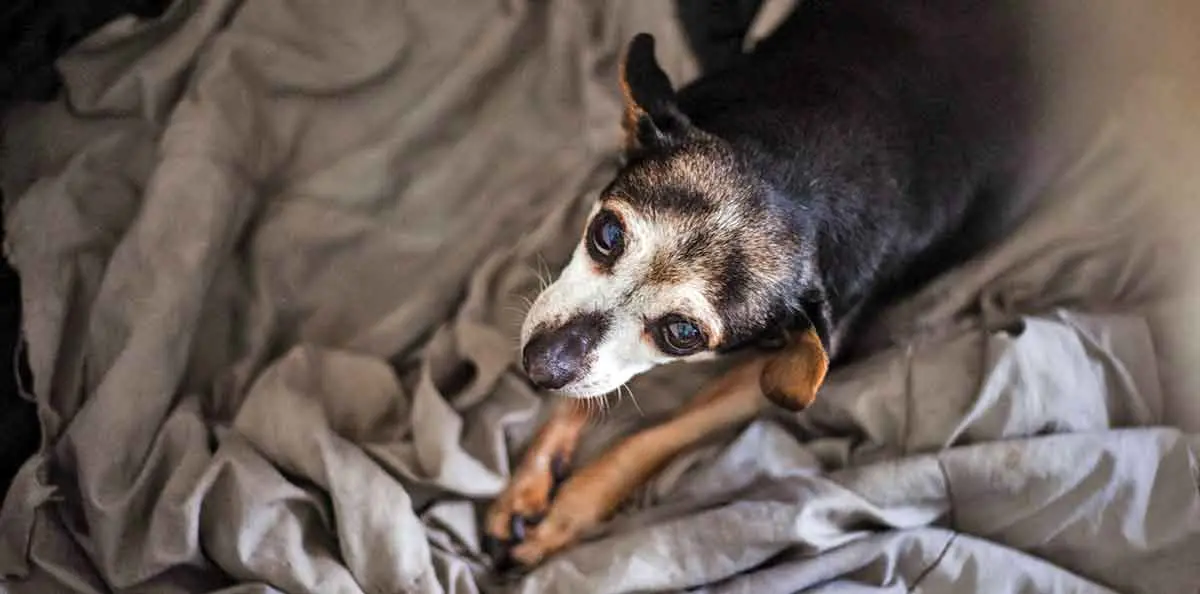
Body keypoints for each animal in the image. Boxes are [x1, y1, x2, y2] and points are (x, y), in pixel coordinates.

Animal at [487, 0, 1032, 566]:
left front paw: (569, 510)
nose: (538, 366)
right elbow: (588, 385)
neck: (796, 165)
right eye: (607, 234)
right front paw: (530, 483)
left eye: (683, 335)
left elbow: (653, 435)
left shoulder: (776, 372)